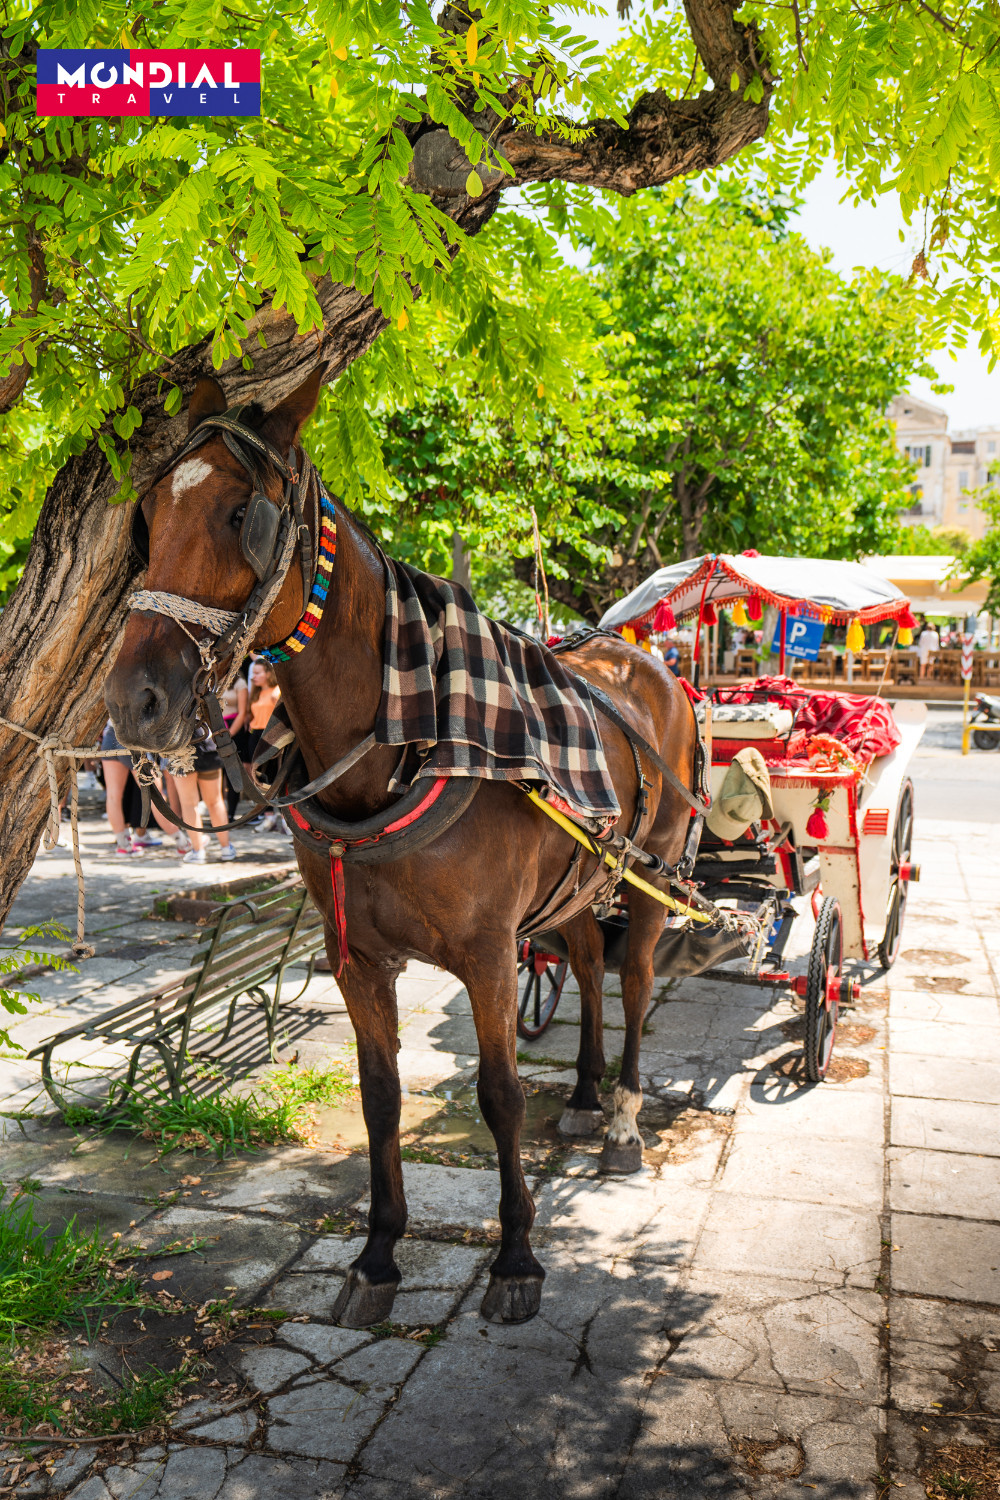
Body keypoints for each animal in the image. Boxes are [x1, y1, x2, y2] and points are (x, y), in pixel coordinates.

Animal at [105, 371, 701, 1327]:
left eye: (241, 514)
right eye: (148, 519)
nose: (134, 703)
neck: (405, 739)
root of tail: (637, 659)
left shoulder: (491, 955)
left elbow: (499, 1097)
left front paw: (517, 1257)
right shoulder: (356, 956)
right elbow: (379, 1096)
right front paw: (379, 1254)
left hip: (653, 871)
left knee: (636, 977)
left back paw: (620, 1121)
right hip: (575, 882)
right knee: (583, 961)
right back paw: (582, 1095)